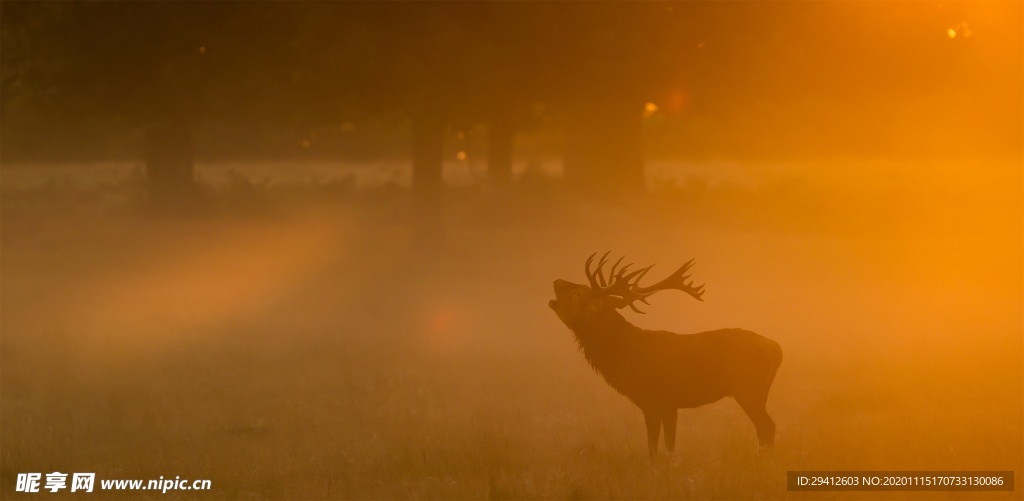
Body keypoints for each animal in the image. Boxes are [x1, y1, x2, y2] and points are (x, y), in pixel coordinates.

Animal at [552, 254, 782, 456]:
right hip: (760, 392)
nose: (556, 281)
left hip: (748, 389)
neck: (623, 356)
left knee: (768, 427)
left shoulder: (652, 399)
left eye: (579, 294)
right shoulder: (670, 404)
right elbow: (670, 445)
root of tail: (776, 349)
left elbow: (653, 446)